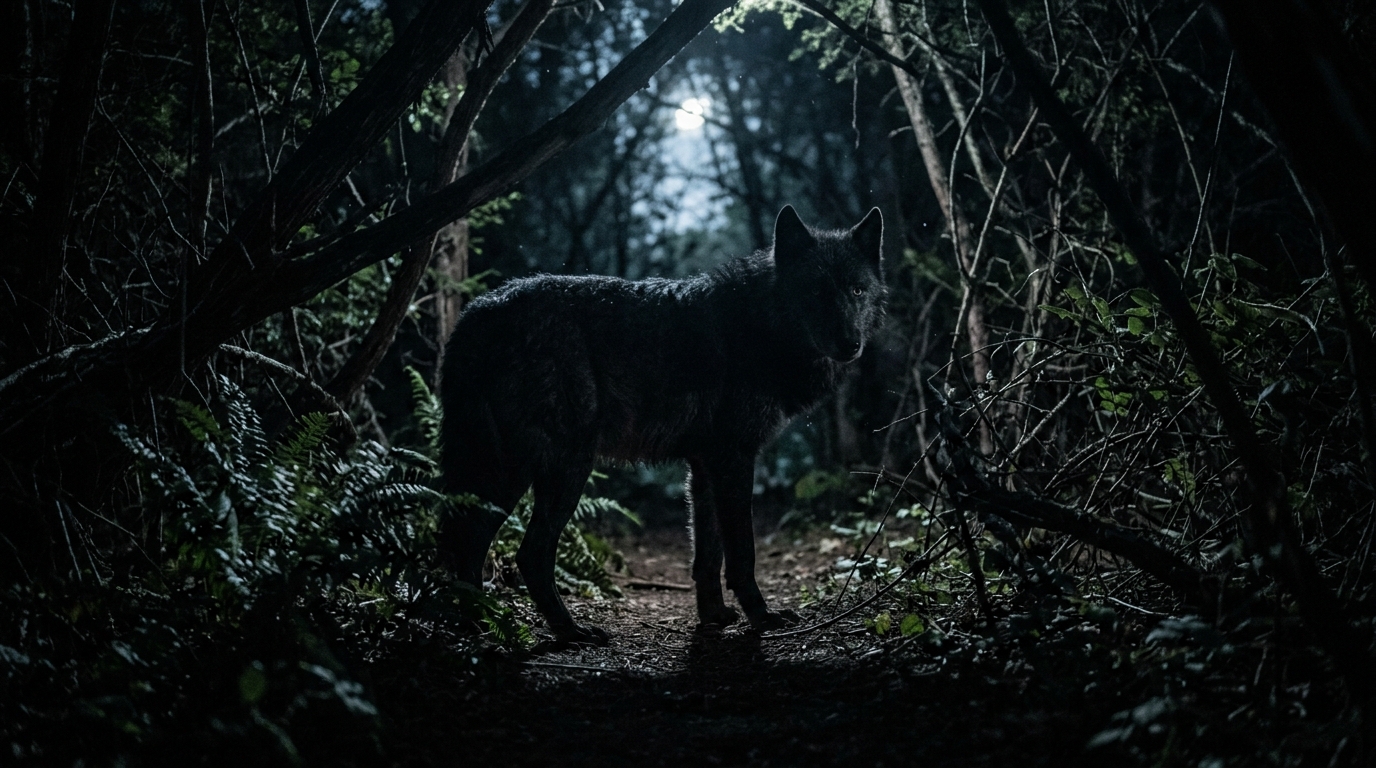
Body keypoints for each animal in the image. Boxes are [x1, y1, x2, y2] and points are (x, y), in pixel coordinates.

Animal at [438, 205, 885, 644]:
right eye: (816, 291)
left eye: (857, 291)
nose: (851, 345)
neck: (759, 324)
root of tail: (475, 313)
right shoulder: (734, 460)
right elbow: (742, 552)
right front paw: (761, 617)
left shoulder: (704, 468)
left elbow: (708, 555)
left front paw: (714, 617)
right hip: (557, 468)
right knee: (520, 550)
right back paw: (565, 630)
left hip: (511, 470)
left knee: (468, 539)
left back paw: (476, 622)